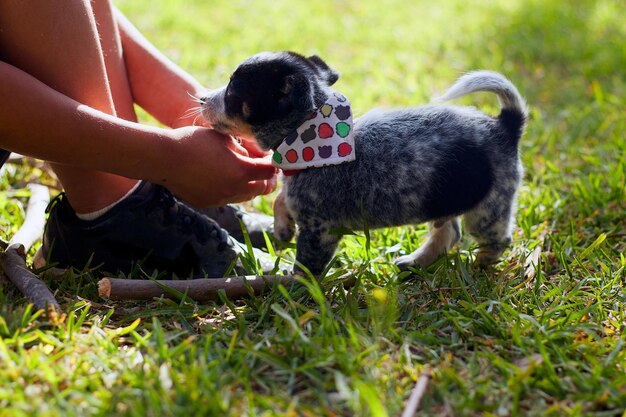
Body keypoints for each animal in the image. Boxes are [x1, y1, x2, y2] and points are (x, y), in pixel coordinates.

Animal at [199, 51, 520, 272]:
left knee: (496, 240)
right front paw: (282, 228)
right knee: (449, 232)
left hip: (487, 211)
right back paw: (417, 261)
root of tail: (505, 126)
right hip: (445, 200)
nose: (201, 99)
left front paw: (291, 286)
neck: (306, 138)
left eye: (232, 90)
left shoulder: (320, 229)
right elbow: (282, 196)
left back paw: (480, 263)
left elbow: (306, 266)